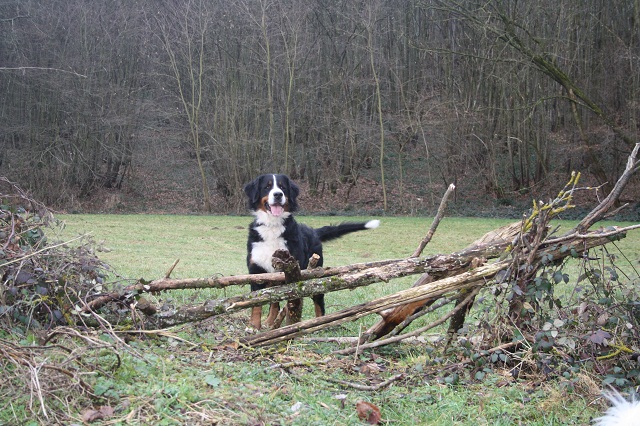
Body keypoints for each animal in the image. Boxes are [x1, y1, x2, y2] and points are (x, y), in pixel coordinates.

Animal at [242, 173, 378, 330]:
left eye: (282, 187)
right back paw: (270, 323)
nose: (278, 194)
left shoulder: (292, 271)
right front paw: (253, 326)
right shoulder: (256, 271)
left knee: (319, 300)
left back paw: (320, 323)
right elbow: (257, 303)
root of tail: (314, 231)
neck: (273, 226)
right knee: (274, 301)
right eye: (267, 186)